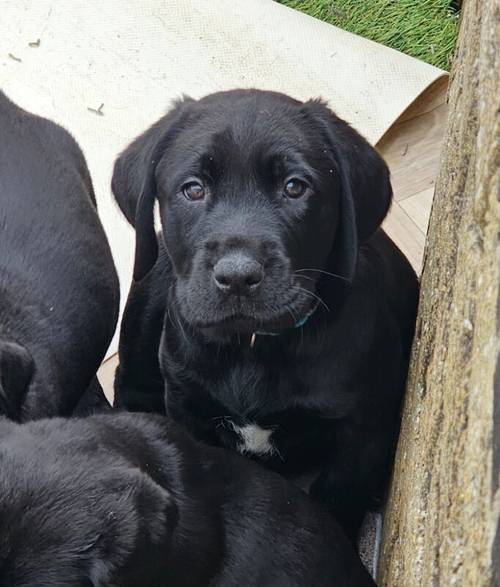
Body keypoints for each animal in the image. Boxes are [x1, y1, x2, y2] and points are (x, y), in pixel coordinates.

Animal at [112, 88, 418, 544]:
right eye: (193, 189)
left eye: (295, 187)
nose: (238, 276)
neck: (254, 347)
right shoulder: (188, 407)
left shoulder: (360, 434)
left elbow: (337, 501)